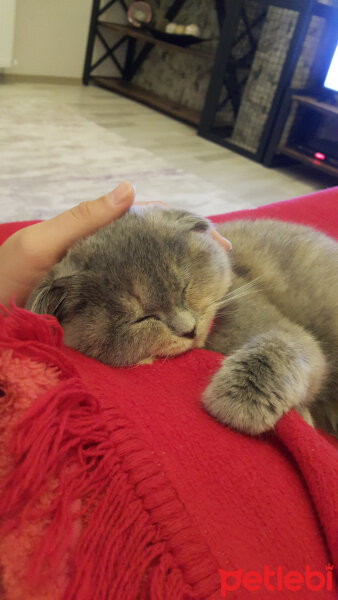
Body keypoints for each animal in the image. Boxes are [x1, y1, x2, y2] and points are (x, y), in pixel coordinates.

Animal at [27, 206, 338, 436]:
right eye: (142, 318)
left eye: (184, 287)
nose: (189, 329)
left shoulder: (288, 330)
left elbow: (280, 347)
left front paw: (238, 402)